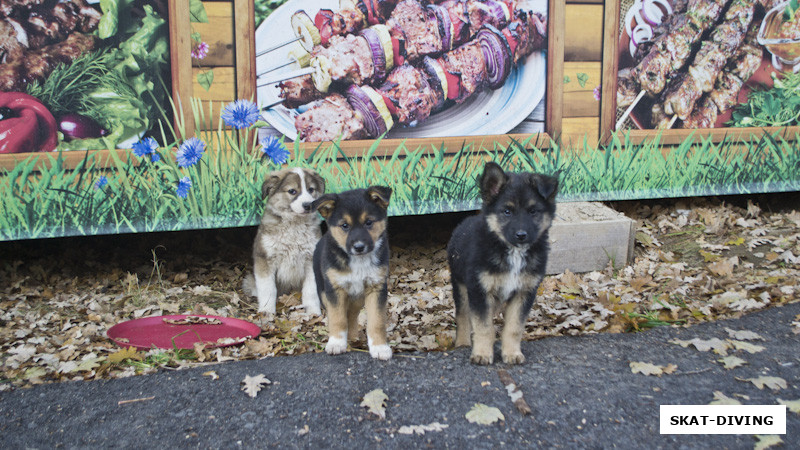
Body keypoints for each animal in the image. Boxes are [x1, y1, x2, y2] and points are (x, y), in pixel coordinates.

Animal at [247, 167, 328, 314]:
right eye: (292, 191)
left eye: (311, 189)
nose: (308, 205)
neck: (294, 225)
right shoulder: (265, 259)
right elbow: (268, 289)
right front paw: (267, 311)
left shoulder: (311, 260)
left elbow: (310, 290)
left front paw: (313, 312)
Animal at [310, 185, 392, 360]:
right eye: (344, 225)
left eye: (369, 222)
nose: (359, 247)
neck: (359, 261)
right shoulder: (334, 289)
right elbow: (338, 318)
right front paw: (336, 343)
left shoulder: (376, 287)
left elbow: (377, 321)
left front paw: (380, 347)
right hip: (323, 292)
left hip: (357, 297)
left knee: (352, 315)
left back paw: (354, 337)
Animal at [450, 162, 556, 366]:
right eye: (507, 211)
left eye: (533, 211)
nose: (521, 235)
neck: (513, 252)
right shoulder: (479, 290)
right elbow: (484, 326)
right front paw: (482, 354)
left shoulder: (524, 292)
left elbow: (514, 327)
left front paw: (512, 353)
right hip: (460, 286)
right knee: (463, 315)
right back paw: (462, 342)